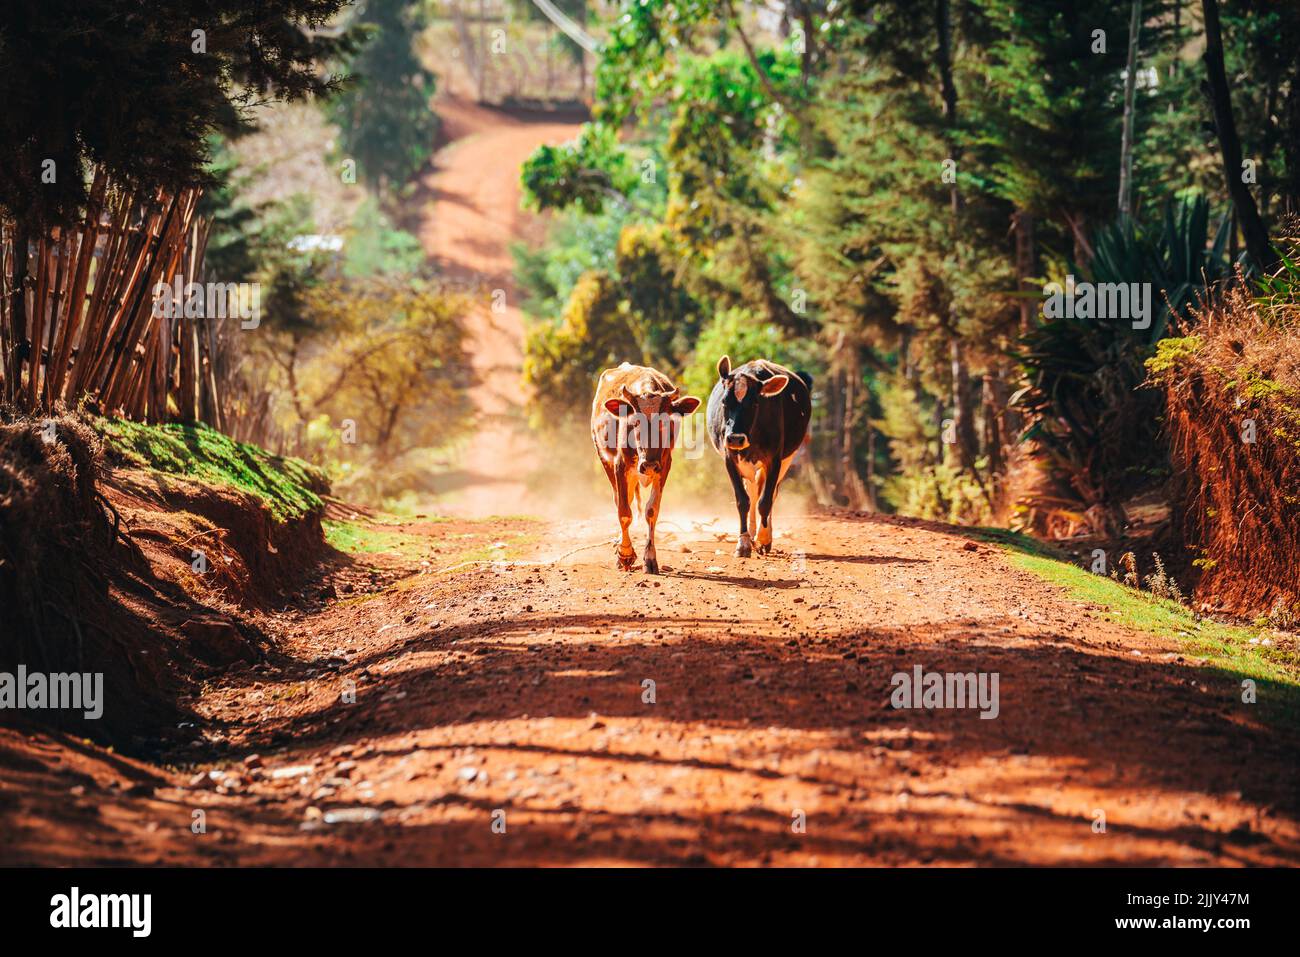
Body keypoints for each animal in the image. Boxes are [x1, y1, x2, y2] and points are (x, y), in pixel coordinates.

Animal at [595, 361, 702, 572]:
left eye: (665, 423)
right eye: (636, 422)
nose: (649, 465)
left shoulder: (665, 465)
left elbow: (652, 510)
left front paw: (650, 558)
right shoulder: (620, 464)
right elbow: (624, 512)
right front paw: (625, 554)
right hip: (607, 462)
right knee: (621, 501)